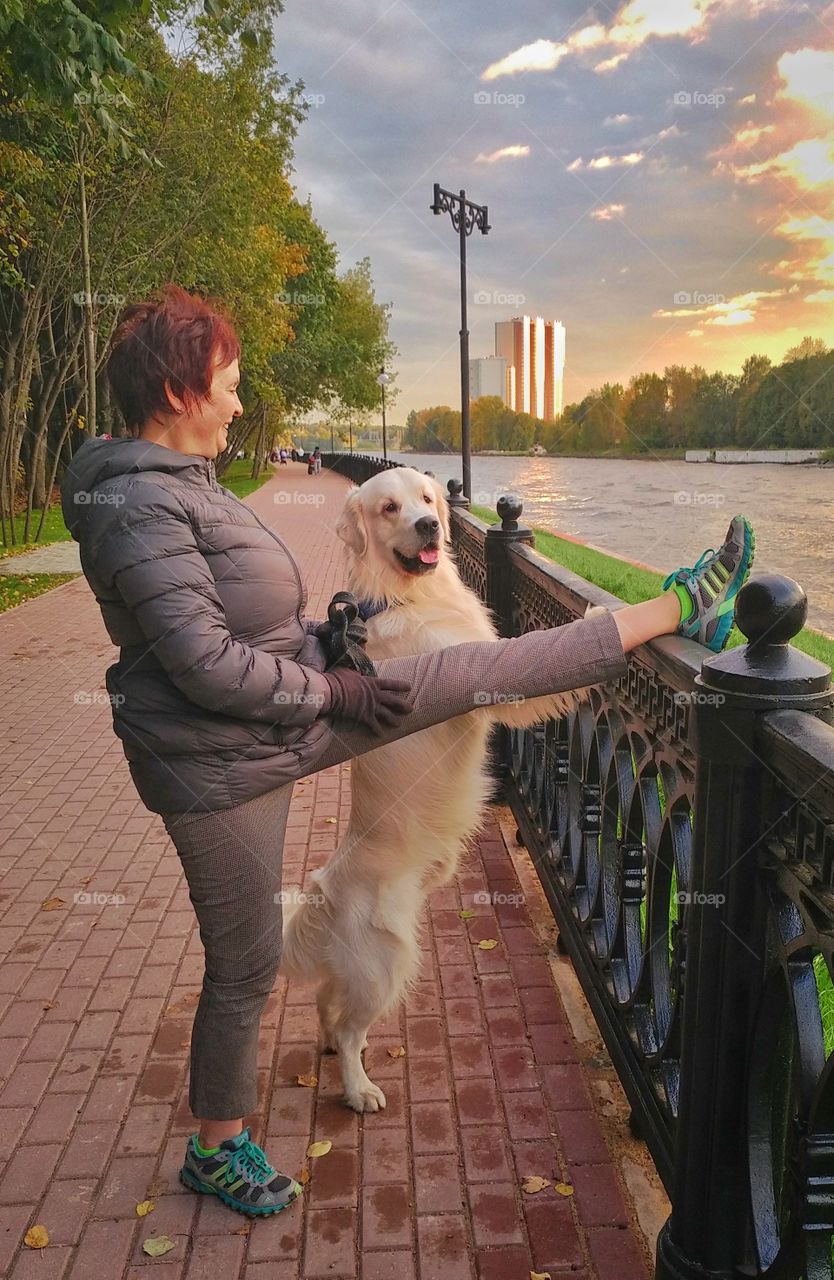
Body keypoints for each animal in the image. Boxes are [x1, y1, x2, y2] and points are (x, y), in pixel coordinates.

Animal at [281, 468, 593, 1111]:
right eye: (388, 508)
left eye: (426, 500)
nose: (428, 524)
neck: (410, 595)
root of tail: (326, 889)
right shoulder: (491, 677)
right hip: (388, 962)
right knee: (349, 1028)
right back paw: (358, 1089)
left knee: (327, 1002)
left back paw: (328, 1047)